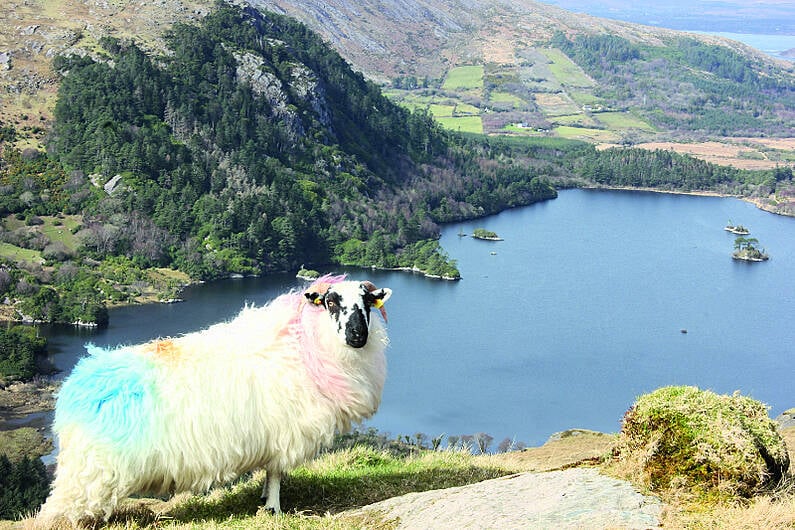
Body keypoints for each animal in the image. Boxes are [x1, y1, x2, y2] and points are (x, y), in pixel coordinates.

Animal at [37, 274, 392, 524]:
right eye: (331, 303)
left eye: (366, 302)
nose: (357, 336)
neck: (303, 345)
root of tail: (77, 385)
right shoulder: (284, 431)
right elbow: (276, 474)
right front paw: (274, 509)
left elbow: (269, 475)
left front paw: (263, 500)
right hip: (91, 468)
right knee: (66, 504)